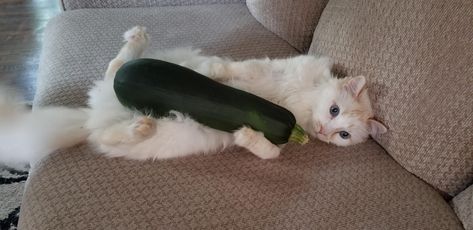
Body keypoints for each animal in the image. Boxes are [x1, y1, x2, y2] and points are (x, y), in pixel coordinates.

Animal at [0, 25, 386, 164]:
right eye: (334, 110)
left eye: (343, 135)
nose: (321, 131)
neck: (301, 109)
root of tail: (91, 115)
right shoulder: (273, 69)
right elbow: (236, 70)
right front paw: (215, 72)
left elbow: (270, 152)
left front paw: (248, 135)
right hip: (134, 77)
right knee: (114, 68)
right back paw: (137, 38)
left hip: (139, 127)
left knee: (107, 130)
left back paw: (139, 125)